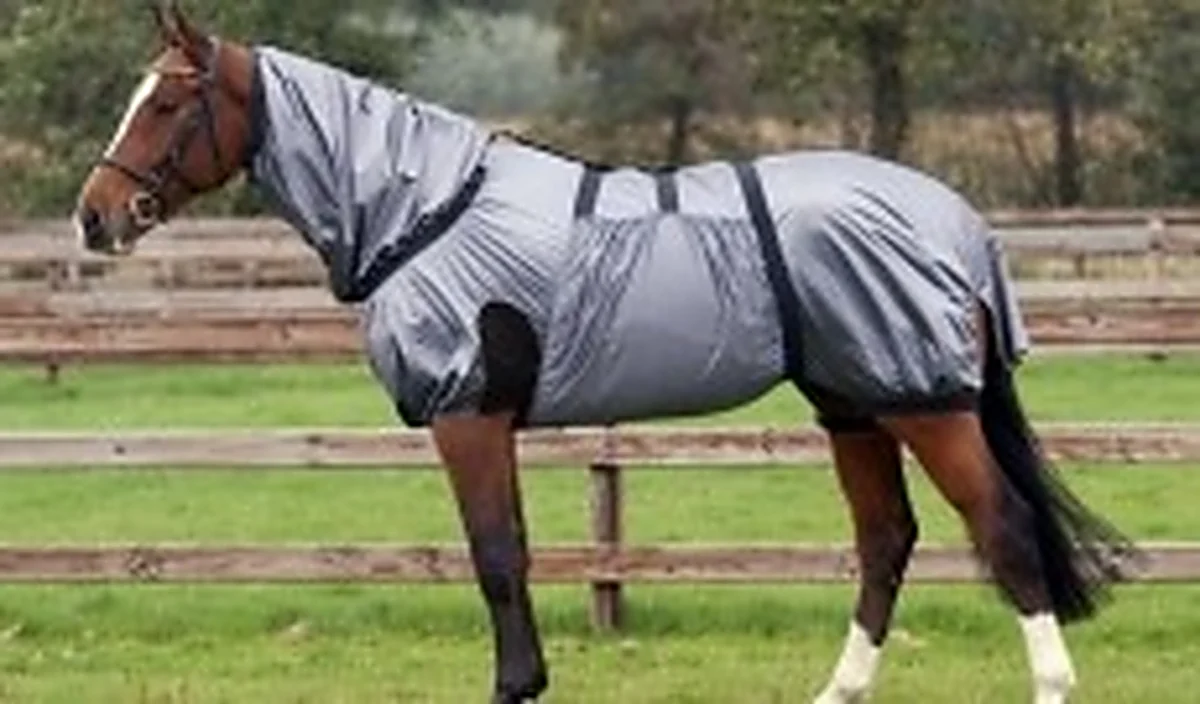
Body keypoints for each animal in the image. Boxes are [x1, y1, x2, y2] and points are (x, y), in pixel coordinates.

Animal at [75, 4, 1131, 703]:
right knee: (886, 541)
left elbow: (496, 556)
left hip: (923, 400)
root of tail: (957, 222)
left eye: (166, 104)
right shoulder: (488, 421)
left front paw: (514, 686)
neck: (425, 209)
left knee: (1003, 529)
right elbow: (515, 551)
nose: (94, 218)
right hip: (856, 403)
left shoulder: (467, 414)